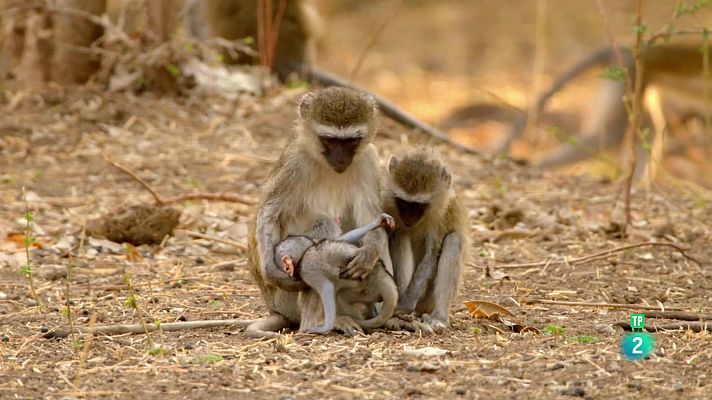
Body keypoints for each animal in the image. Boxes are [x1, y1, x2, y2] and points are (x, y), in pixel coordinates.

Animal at [245, 86, 390, 338]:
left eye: (352, 141)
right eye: (329, 140)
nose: (341, 159)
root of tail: (275, 308)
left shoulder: (369, 160)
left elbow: (371, 216)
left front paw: (369, 253)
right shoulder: (294, 162)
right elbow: (271, 211)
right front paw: (270, 270)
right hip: (286, 300)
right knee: (324, 226)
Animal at [384, 148, 468, 332]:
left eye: (418, 206)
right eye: (403, 202)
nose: (408, 218)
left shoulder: (443, 215)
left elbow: (431, 254)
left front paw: (404, 306)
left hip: (427, 301)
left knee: (454, 240)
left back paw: (439, 318)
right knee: (401, 235)